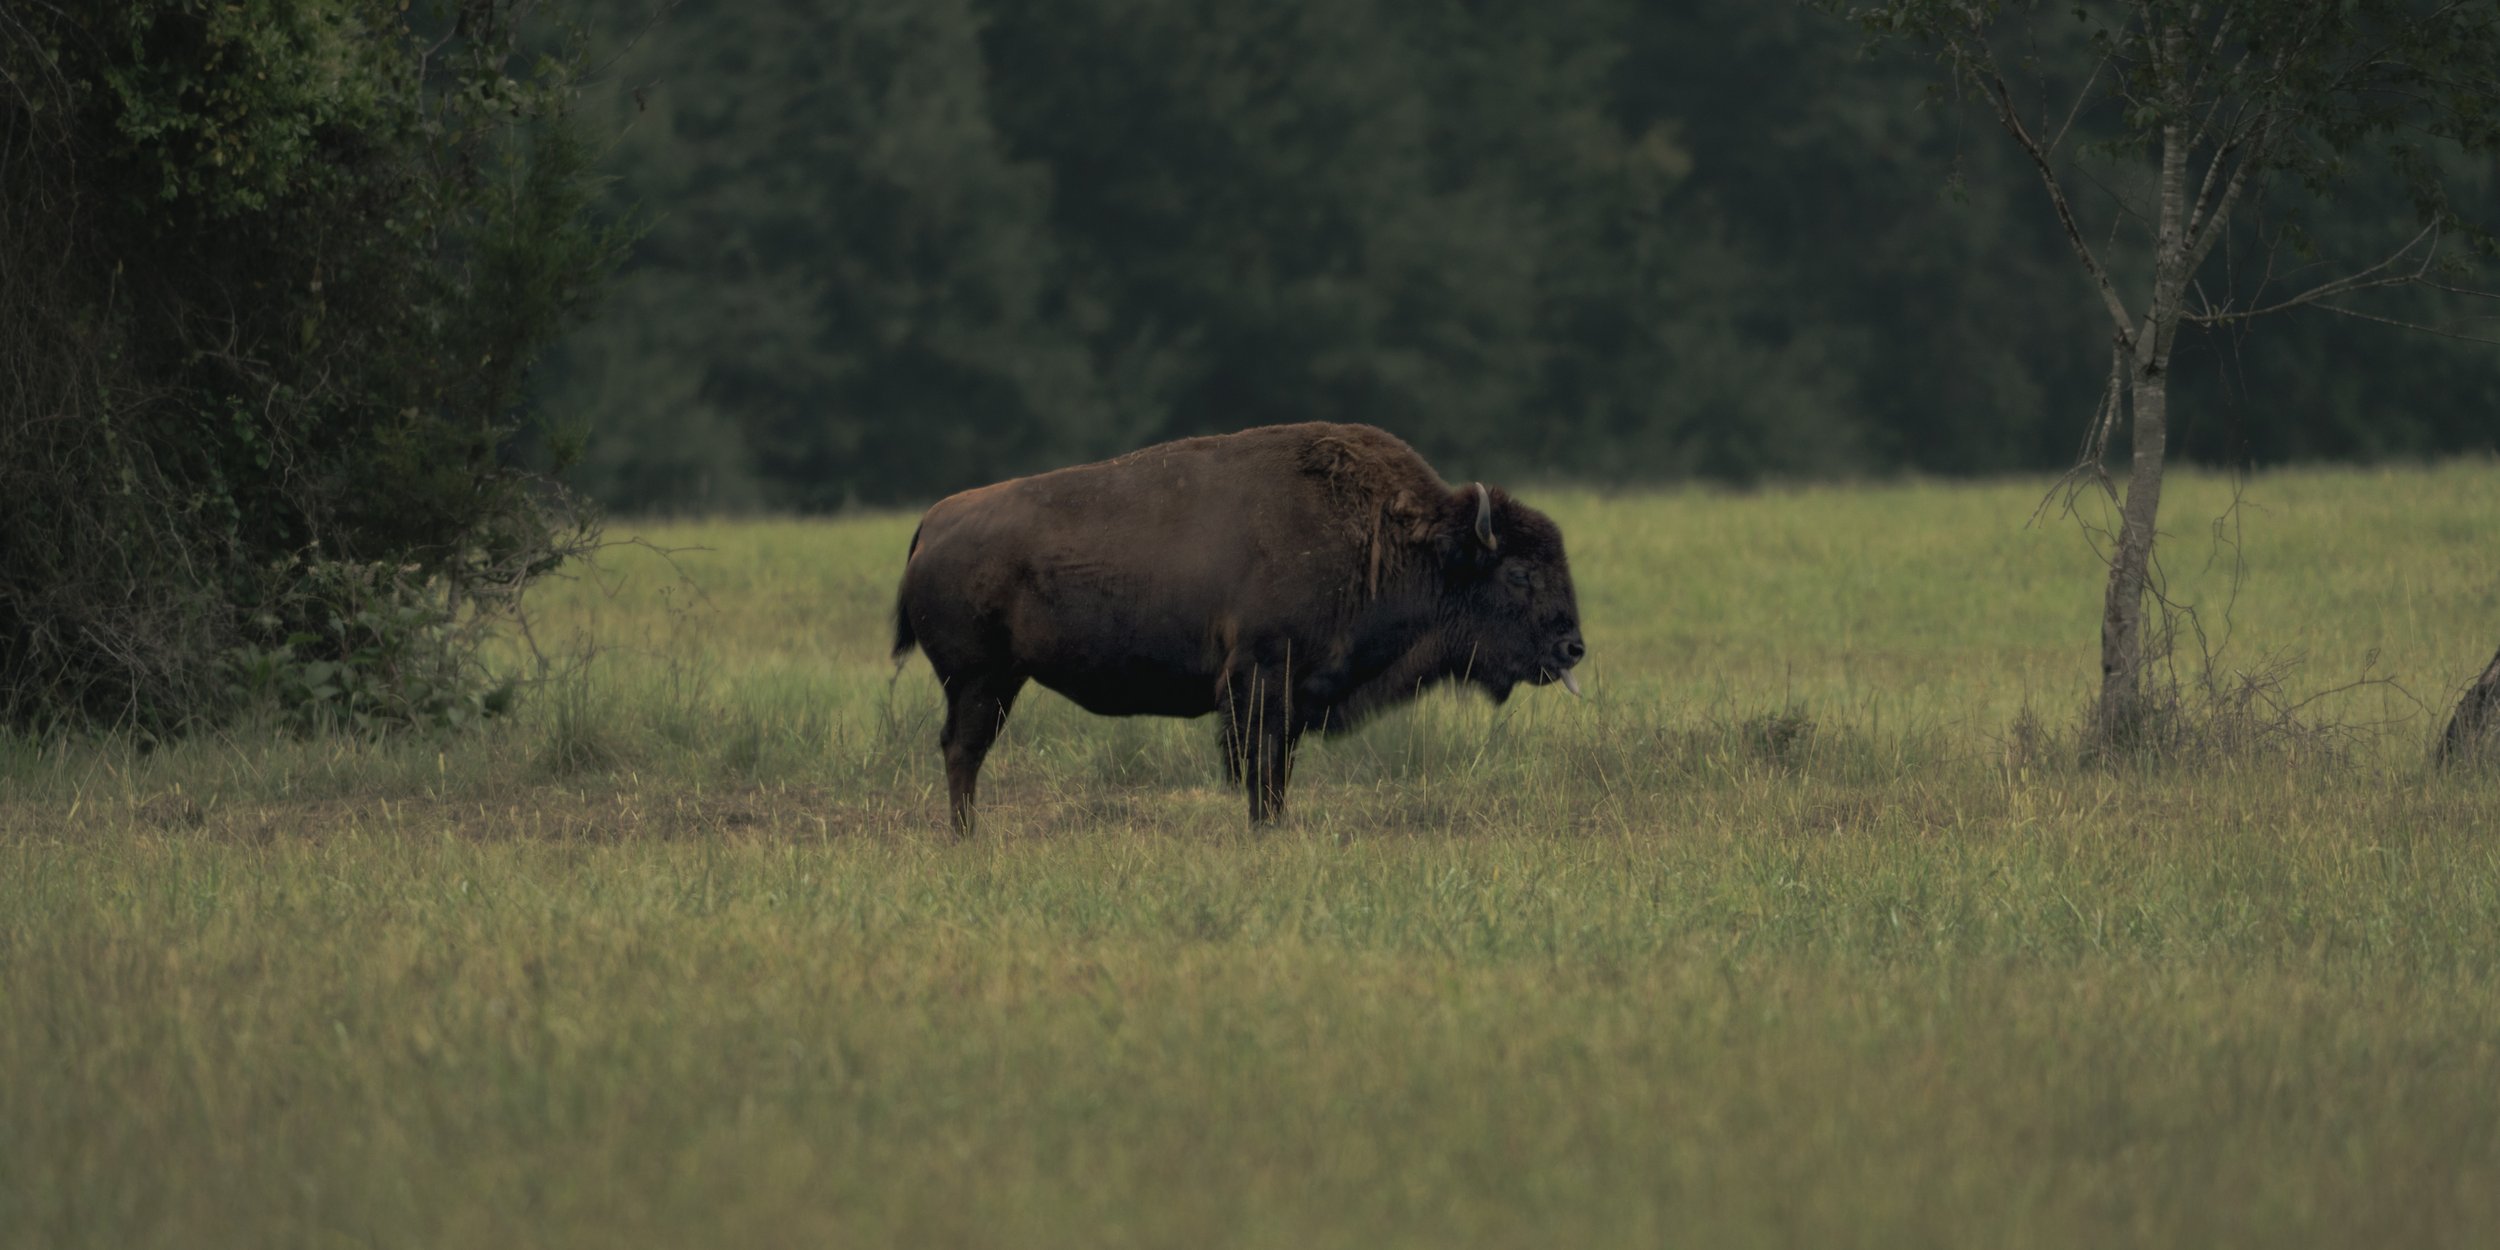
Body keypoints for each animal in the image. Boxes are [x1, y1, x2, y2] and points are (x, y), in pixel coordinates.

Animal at [890, 422, 1585, 831]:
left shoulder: (1292, 696)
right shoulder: (1262, 682)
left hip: (999, 681)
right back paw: (966, 835)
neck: (1395, 539)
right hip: (979, 679)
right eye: (1519, 573)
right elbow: (1261, 767)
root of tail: (935, 520)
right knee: (963, 749)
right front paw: (1265, 829)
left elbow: (1276, 770)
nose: (1572, 647)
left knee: (963, 748)